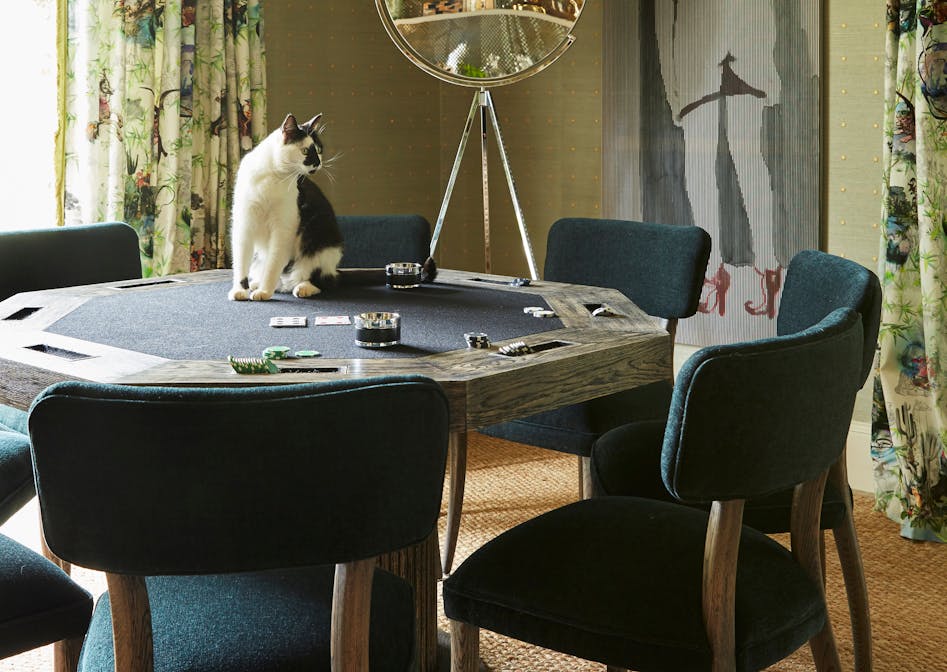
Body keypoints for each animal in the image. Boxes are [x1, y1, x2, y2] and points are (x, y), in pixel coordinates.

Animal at [228, 113, 342, 302]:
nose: (318, 163)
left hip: (322, 242)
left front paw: (265, 292)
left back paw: (303, 287)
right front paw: (240, 290)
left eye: (319, 150)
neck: (272, 175)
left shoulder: (283, 228)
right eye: (305, 151)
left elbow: (273, 263)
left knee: (324, 279)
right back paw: (256, 283)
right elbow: (241, 260)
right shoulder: (244, 222)